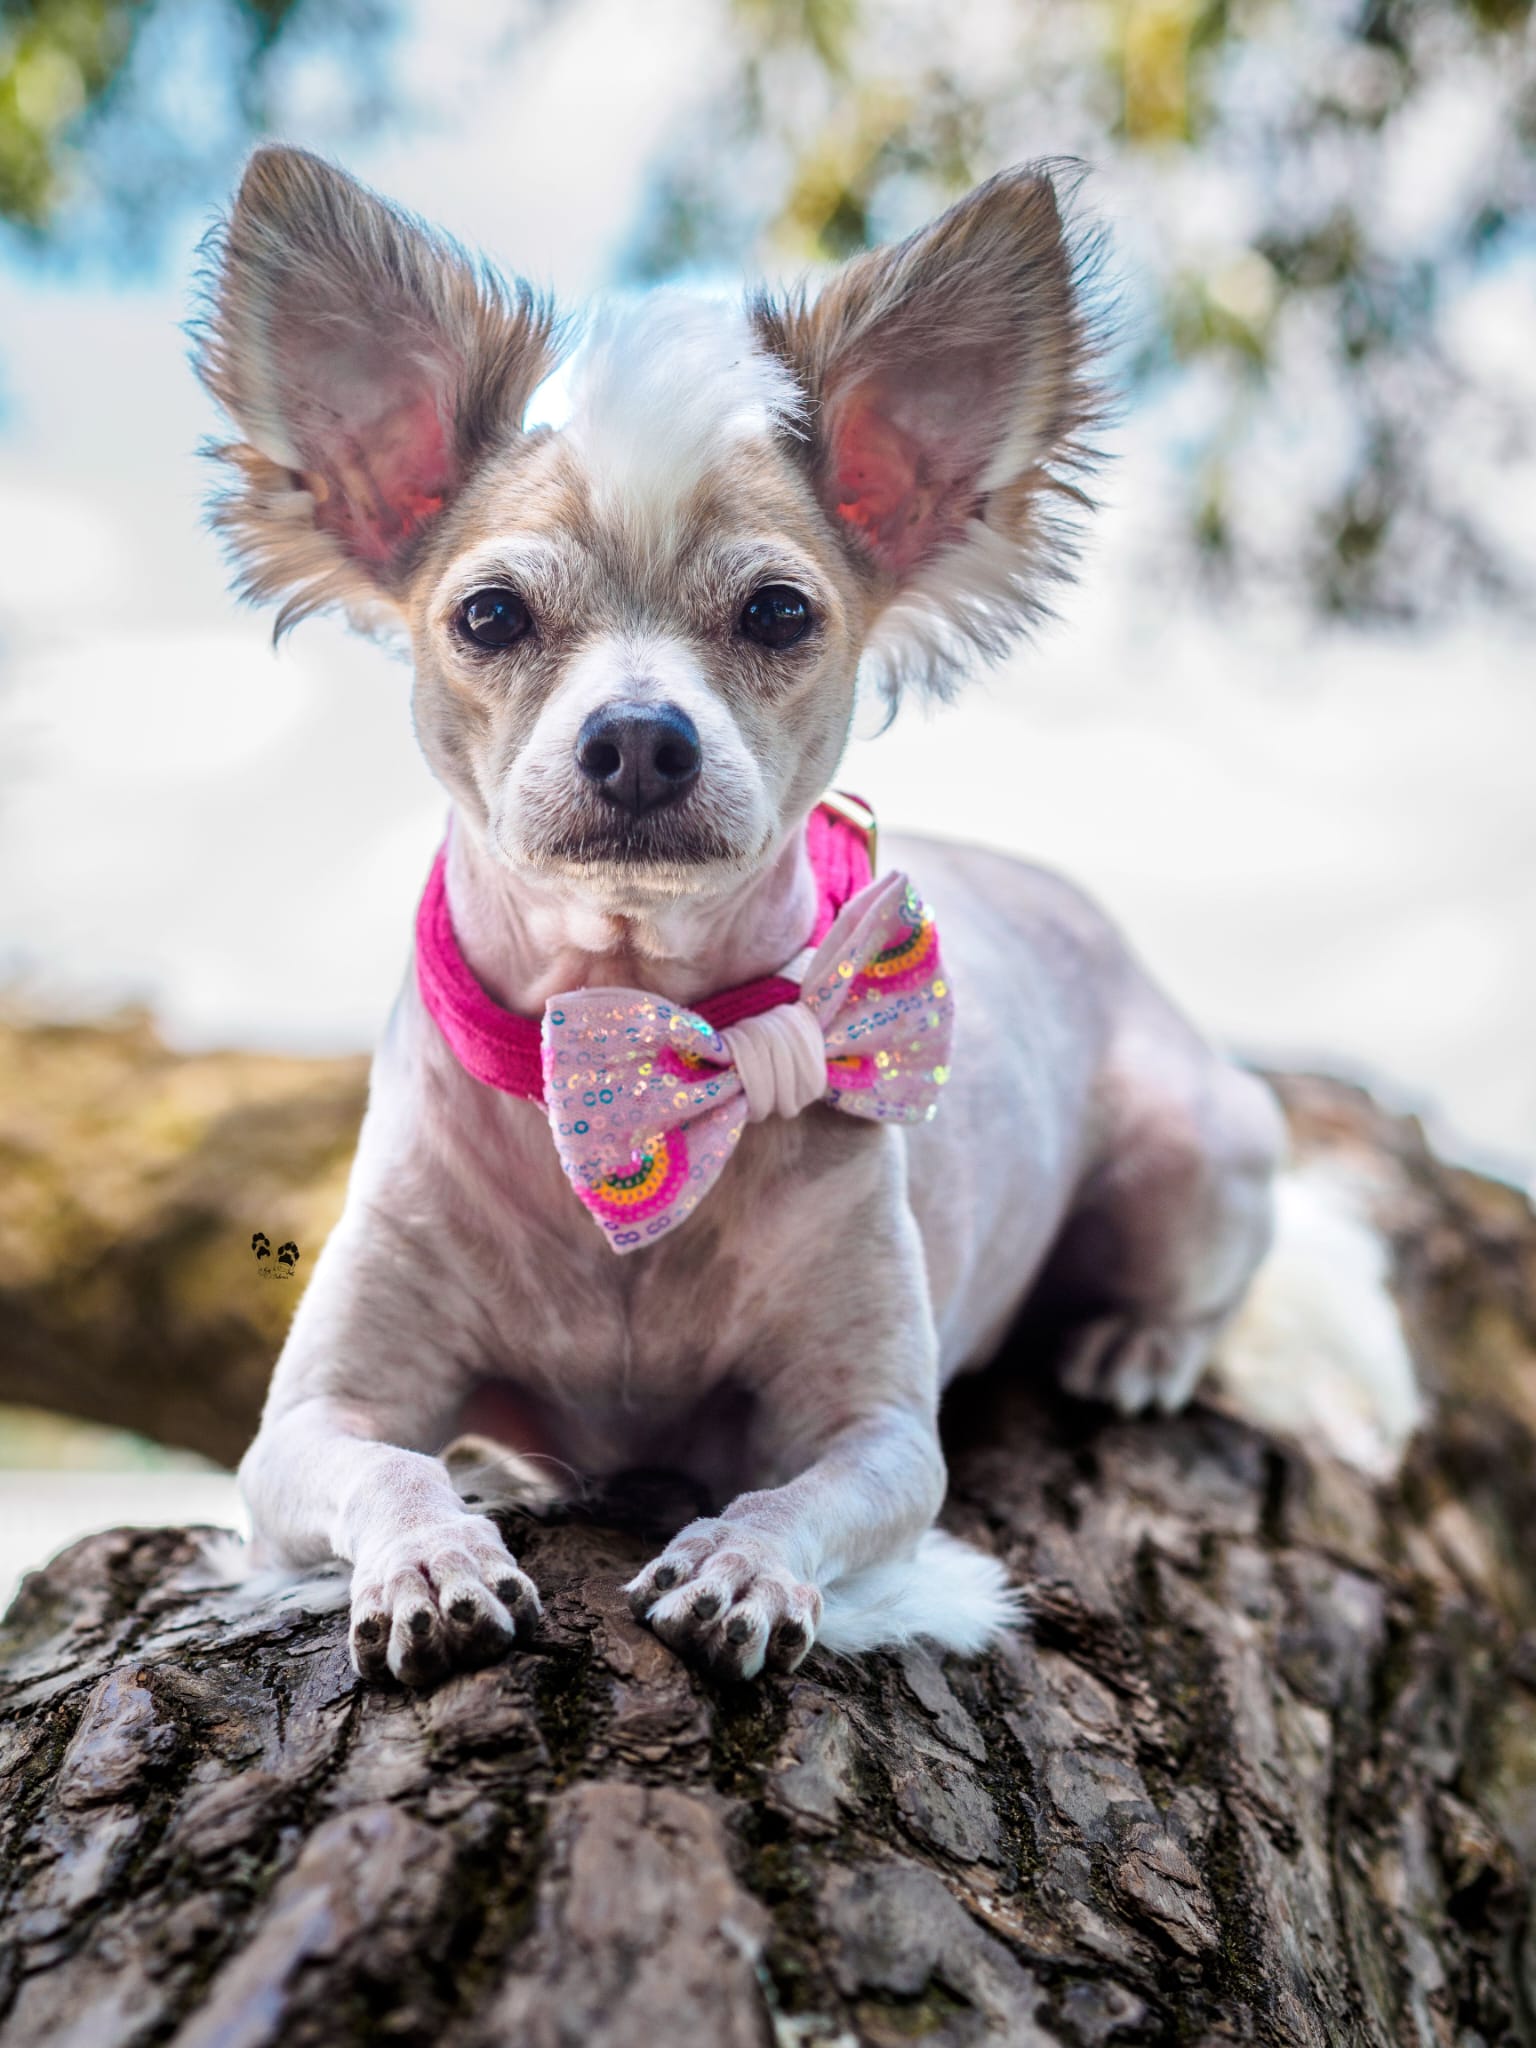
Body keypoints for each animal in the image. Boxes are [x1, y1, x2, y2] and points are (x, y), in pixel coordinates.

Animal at [195, 140, 1409, 1679]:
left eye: (777, 612)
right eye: (488, 617)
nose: (638, 737)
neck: (644, 1030)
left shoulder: (879, 1433)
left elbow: (806, 1493)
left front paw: (743, 1564)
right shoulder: (313, 1423)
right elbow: (392, 1462)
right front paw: (431, 1557)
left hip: (1191, 1153)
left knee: (1218, 1276)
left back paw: (1136, 1345)